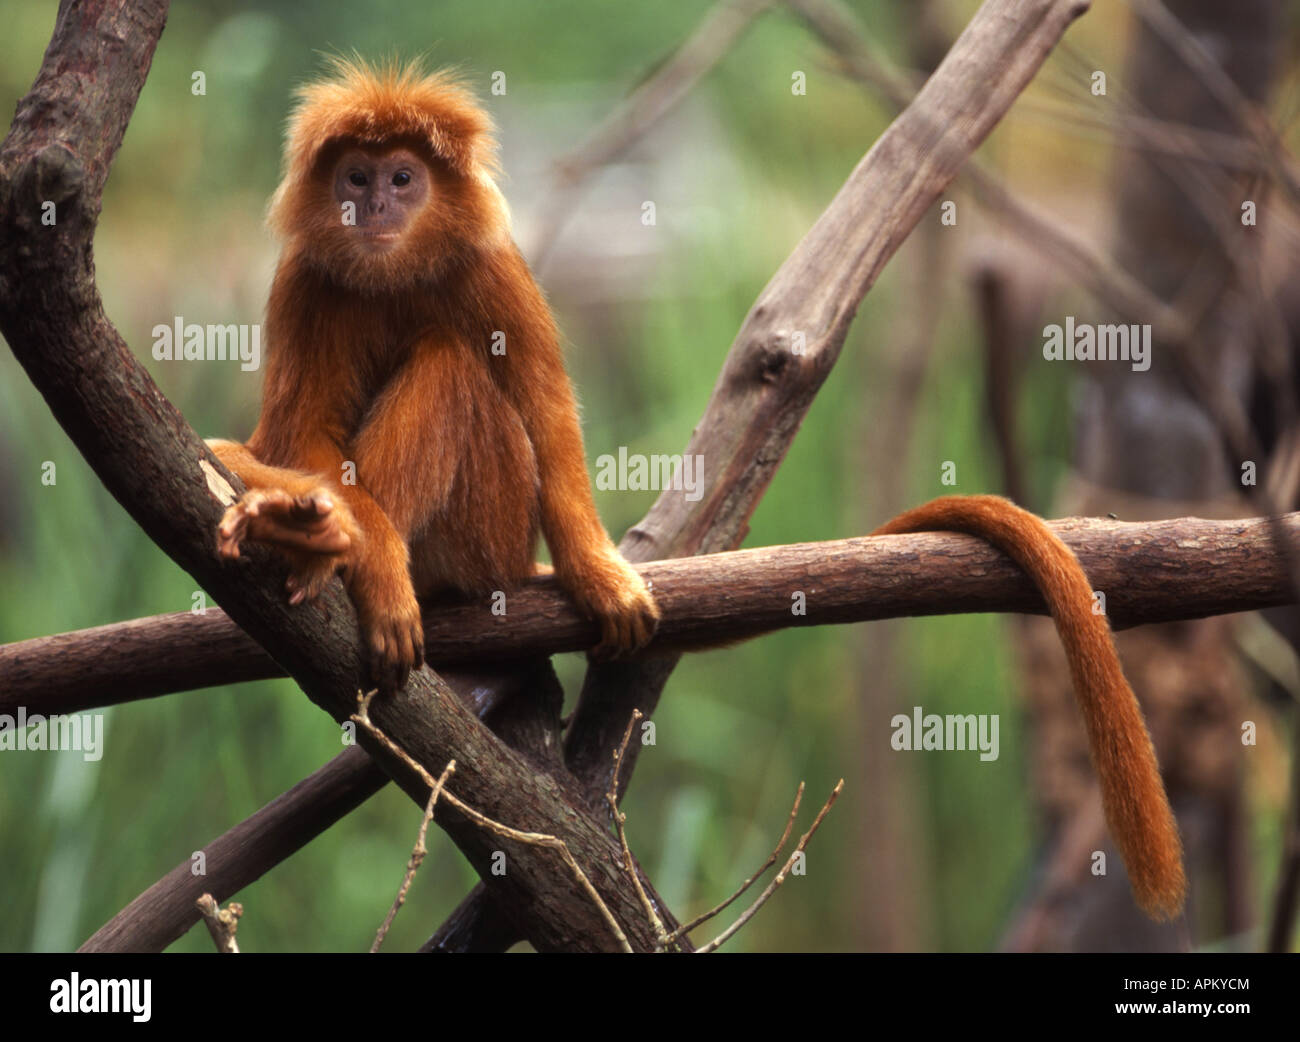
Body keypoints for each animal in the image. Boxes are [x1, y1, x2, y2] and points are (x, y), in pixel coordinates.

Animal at [211, 56, 660, 691]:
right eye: (357, 179)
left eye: (401, 178)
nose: (375, 207)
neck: (394, 274)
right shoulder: (304, 279)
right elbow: (299, 433)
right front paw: (376, 569)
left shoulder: (492, 265)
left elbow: (547, 412)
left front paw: (598, 575)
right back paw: (313, 540)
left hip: (496, 538)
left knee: (448, 360)